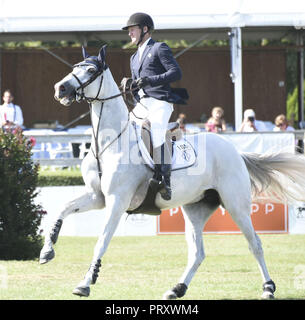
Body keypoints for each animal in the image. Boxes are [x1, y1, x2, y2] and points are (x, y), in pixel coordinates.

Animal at [40, 45, 305, 300]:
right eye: (74, 67)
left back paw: (268, 288)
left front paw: (85, 284)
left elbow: (102, 241)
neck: (107, 143)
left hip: (236, 205)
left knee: (255, 244)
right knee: (198, 253)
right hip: (195, 209)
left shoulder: (117, 201)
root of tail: (235, 151)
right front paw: (47, 251)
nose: (60, 89)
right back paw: (176, 289)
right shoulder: (98, 197)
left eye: (91, 70)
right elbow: (63, 208)